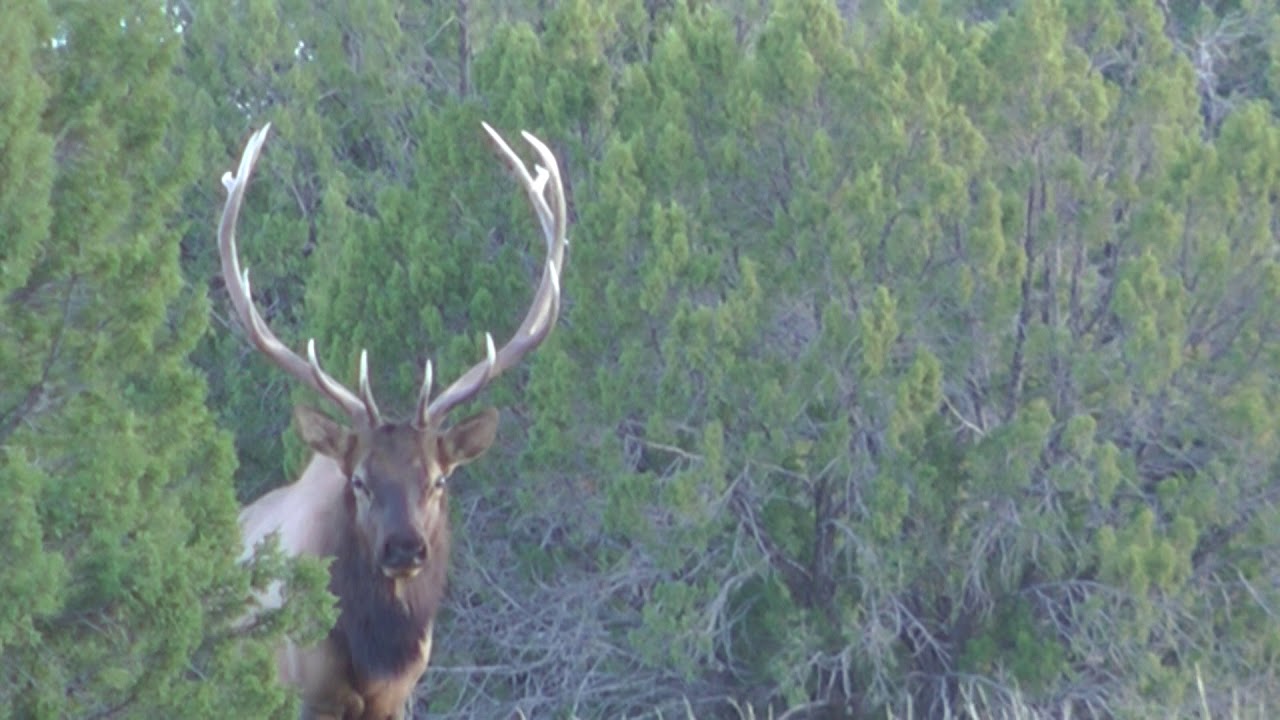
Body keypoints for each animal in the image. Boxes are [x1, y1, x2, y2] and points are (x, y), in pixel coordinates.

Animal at [218, 123, 567, 719]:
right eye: (358, 481)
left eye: (440, 479)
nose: (405, 548)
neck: (372, 655)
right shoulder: (306, 691)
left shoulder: (398, 696)